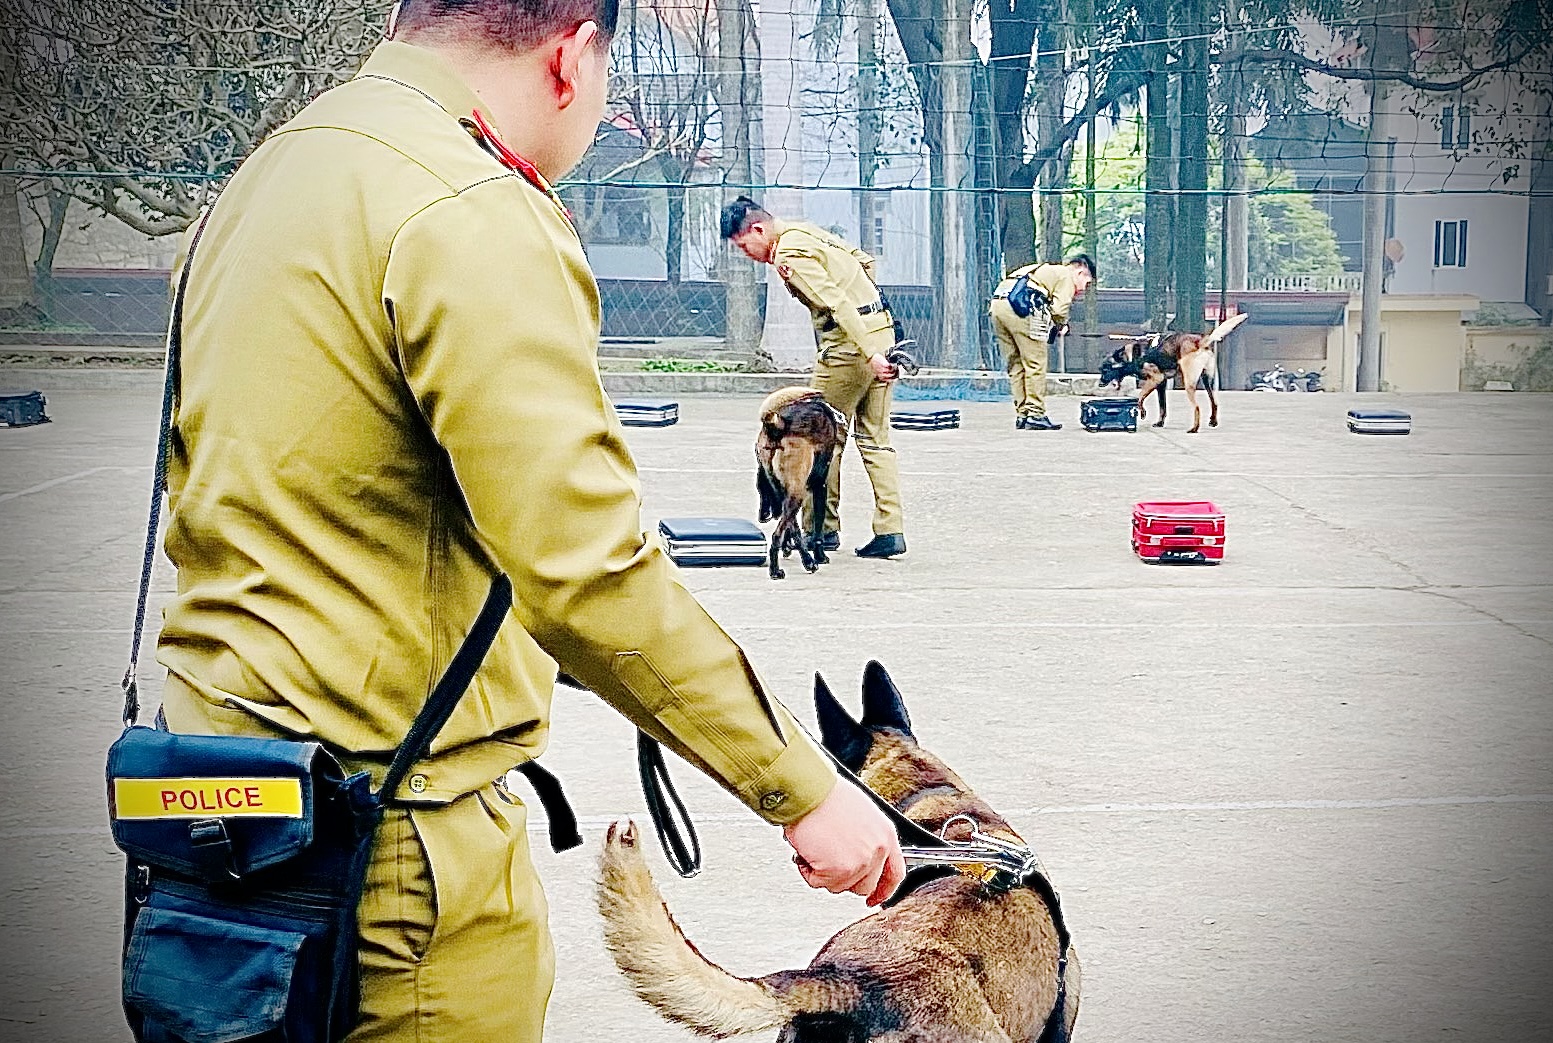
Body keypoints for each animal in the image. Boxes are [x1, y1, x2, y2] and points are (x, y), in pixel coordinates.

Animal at [754, 384, 844, 577]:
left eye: (761, 491)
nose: (763, 517)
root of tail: (778, 425)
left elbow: (793, 528)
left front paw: (791, 549)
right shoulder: (820, 486)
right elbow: (818, 531)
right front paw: (820, 556)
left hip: (791, 494)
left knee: (788, 526)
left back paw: (807, 561)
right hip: (797, 494)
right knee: (776, 535)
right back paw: (776, 570)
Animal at [1099, 313, 1254, 434]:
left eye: (1105, 369)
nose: (1100, 384)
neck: (1132, 357)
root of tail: (1201, 341)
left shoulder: (1156, 378)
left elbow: (1140, 397)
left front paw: (1142, 412)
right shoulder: (1161, 384)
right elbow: (1162, 407)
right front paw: (1160, 423)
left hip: (1189, 382)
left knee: (1197, 407)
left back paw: (1194, 428)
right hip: (1207, 381)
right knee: (1214, 402)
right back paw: (1213, 421)